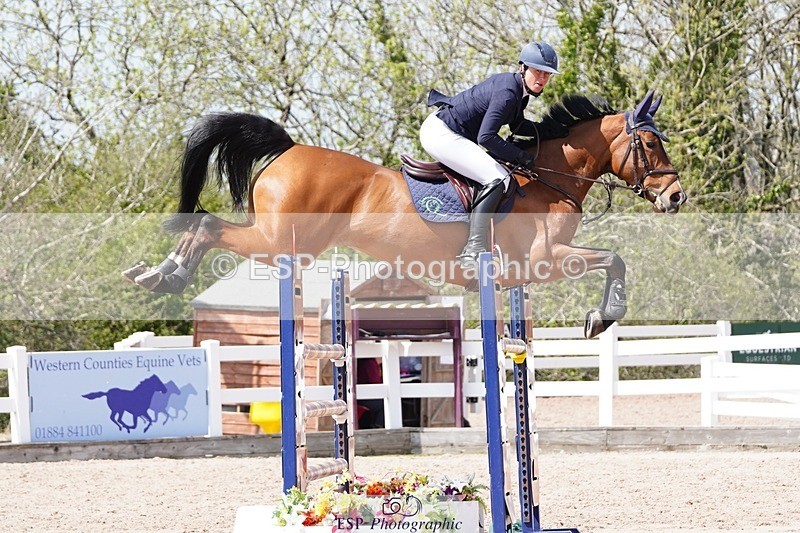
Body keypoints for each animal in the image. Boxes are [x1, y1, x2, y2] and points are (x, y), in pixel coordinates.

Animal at [124, 90, 685, 338]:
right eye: (650, 143)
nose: (676, 197)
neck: (549, 178)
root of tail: (289, 150)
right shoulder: (545, 259)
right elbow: (614, 259)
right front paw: (601, 319)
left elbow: (613, 260)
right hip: (282, 243)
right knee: (208, 225)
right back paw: (167, 276)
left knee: (205, 228)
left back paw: (157, 274)